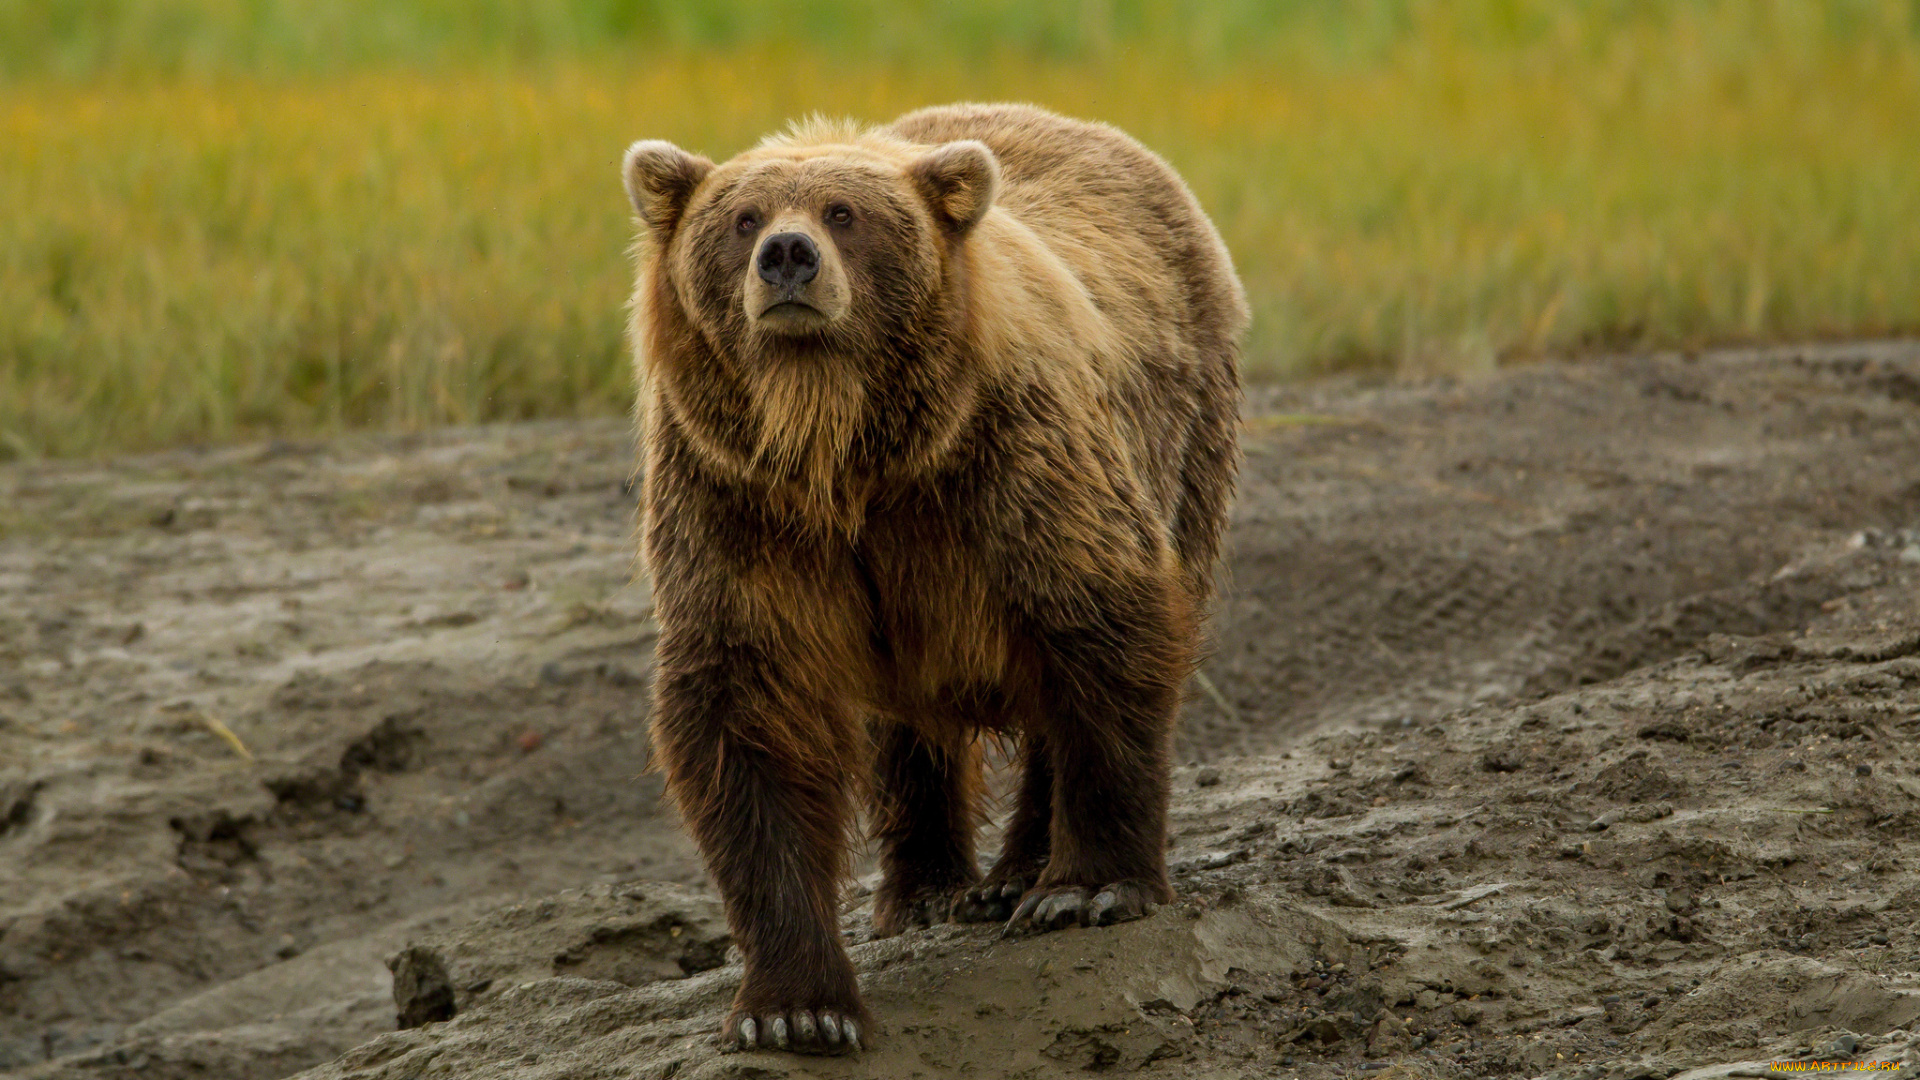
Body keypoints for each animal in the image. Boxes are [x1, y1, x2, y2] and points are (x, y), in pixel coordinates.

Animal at [614, 102, 1244, 1053]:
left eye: (843, 213)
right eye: (743, 219)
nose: (788, 255)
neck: (842, 448)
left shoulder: (1006, 464)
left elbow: (1099, 624)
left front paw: (1092, 886)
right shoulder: (736, 503)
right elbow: (747, 712)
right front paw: (796, 1008)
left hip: (1186, 427)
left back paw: (1021, 873)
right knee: (902, 734)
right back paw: (923, 889)